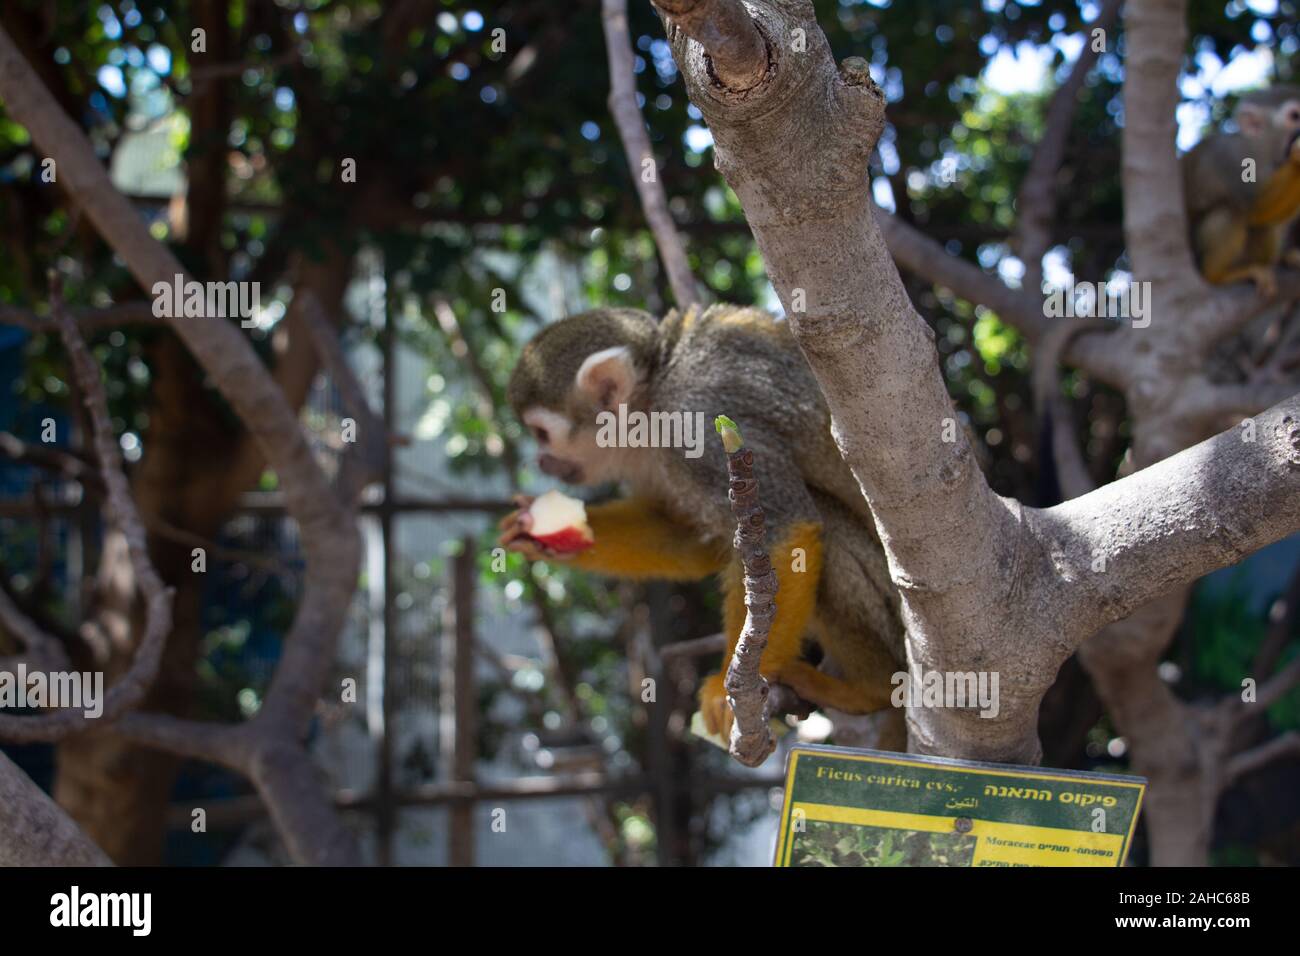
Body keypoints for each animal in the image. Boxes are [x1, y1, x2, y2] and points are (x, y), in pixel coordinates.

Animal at [496, 304, 904, 738]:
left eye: (542, 434)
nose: (541, 461)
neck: (652, 401)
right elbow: (691, 539)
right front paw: (534, 532)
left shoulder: (699, 426)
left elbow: (786, 529)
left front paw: (725, 690)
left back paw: (870, 690)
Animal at [1185, 86, 1300, 297]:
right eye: (1295, 116)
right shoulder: (1231, 158)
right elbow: (1255, 209)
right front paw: (1298, 156)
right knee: (1232, 210)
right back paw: (1218, 275)